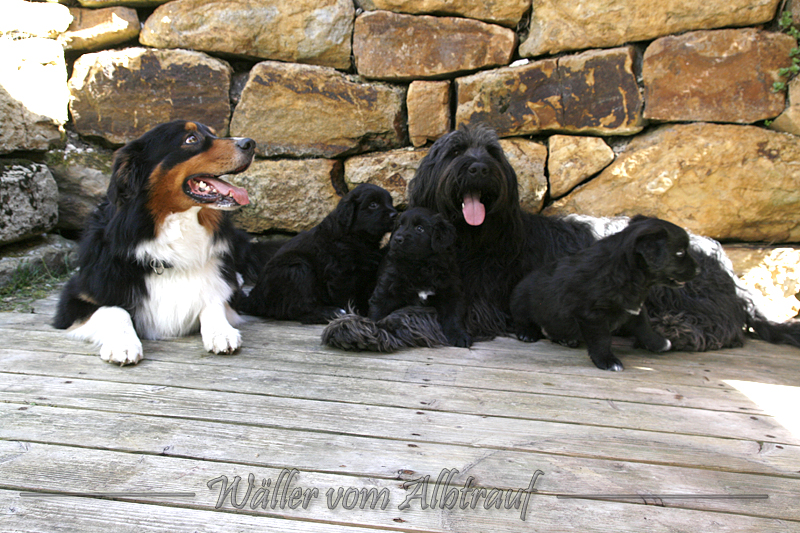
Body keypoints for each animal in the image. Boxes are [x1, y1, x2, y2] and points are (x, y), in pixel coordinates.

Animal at [53, 120, 256, 365]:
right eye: (191, 139)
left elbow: (213, 300)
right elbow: (114, 309)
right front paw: (123, 344)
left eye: (213, 134)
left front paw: (221, 332)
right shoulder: (75, 298)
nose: (250, 143)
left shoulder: (226, 291)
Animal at [242, 184, 397, 323]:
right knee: (297, 309)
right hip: (297, 268)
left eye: (390, 202)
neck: (357, 238)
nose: (395, 215)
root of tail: (254, 298)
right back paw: (331, 313)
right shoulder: (341, 274)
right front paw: (352, 314)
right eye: (373, 205)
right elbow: (346, 297)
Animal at [322, 207, 471, 350]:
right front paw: (374, 333)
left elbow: (454, 316)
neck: (419, 266)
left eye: (420, 228)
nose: (398, 238)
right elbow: (378, 314)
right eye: (400, 225)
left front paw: (459, 336)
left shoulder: (452, 291)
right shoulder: (385, 290)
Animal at [407, 124, 800, 352]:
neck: (472, 238)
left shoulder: (481, 303)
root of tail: (726, 265)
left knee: (722, 325)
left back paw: (675, 330)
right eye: (455, 152)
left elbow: (421, 313)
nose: (479, 168)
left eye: (492, 153)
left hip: (672, 286)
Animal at [510, 216, 700, 370]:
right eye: (680, 252)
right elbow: (602, 339)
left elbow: (645, 328)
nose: (698, 271)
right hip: (522, 299)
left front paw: (659, 343)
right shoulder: (592, 315)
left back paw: (566, 339)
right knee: (524, 320)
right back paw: (527, 333)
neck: (627, 272)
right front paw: (607, 361)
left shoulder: (634, 309)